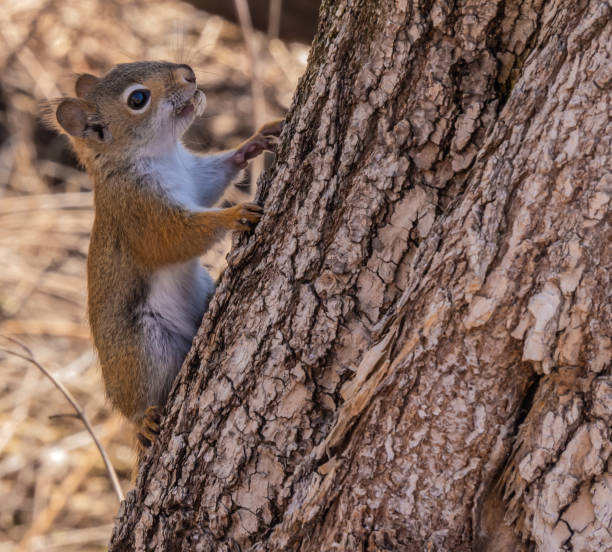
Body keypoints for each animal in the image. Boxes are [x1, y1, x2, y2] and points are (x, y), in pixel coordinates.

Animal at [47, 60, 282, 458]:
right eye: (138, 99)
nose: (189, 73)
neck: (163, 155)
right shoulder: (138, 211)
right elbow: (173, 239)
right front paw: (232, 216)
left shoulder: (194, 177)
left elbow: (213, 179)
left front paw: (254, 142)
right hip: (145, 348)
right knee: (139, 398)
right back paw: (144, 420)